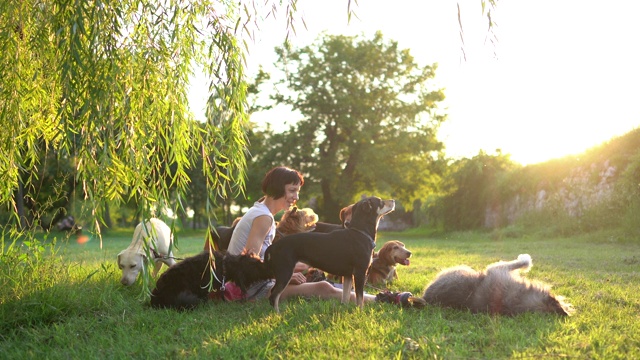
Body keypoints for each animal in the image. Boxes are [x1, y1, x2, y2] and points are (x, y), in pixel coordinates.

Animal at [262, 197, 392, 312]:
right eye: (380, 202)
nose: (393, 201)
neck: (360, 232)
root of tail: (274, 246)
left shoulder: (348, 275)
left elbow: (346, 295)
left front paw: (345, 309)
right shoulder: (359, 273)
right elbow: (360, 297)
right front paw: (360, 312)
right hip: (285, 272)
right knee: (274, 295)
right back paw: (277, 314)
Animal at [422, 253, 572, 316]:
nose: (568, 308)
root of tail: (426, 299)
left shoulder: (498, 268)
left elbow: (521, 262)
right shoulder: (499, 268)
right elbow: (522, 262)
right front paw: (525, 259)